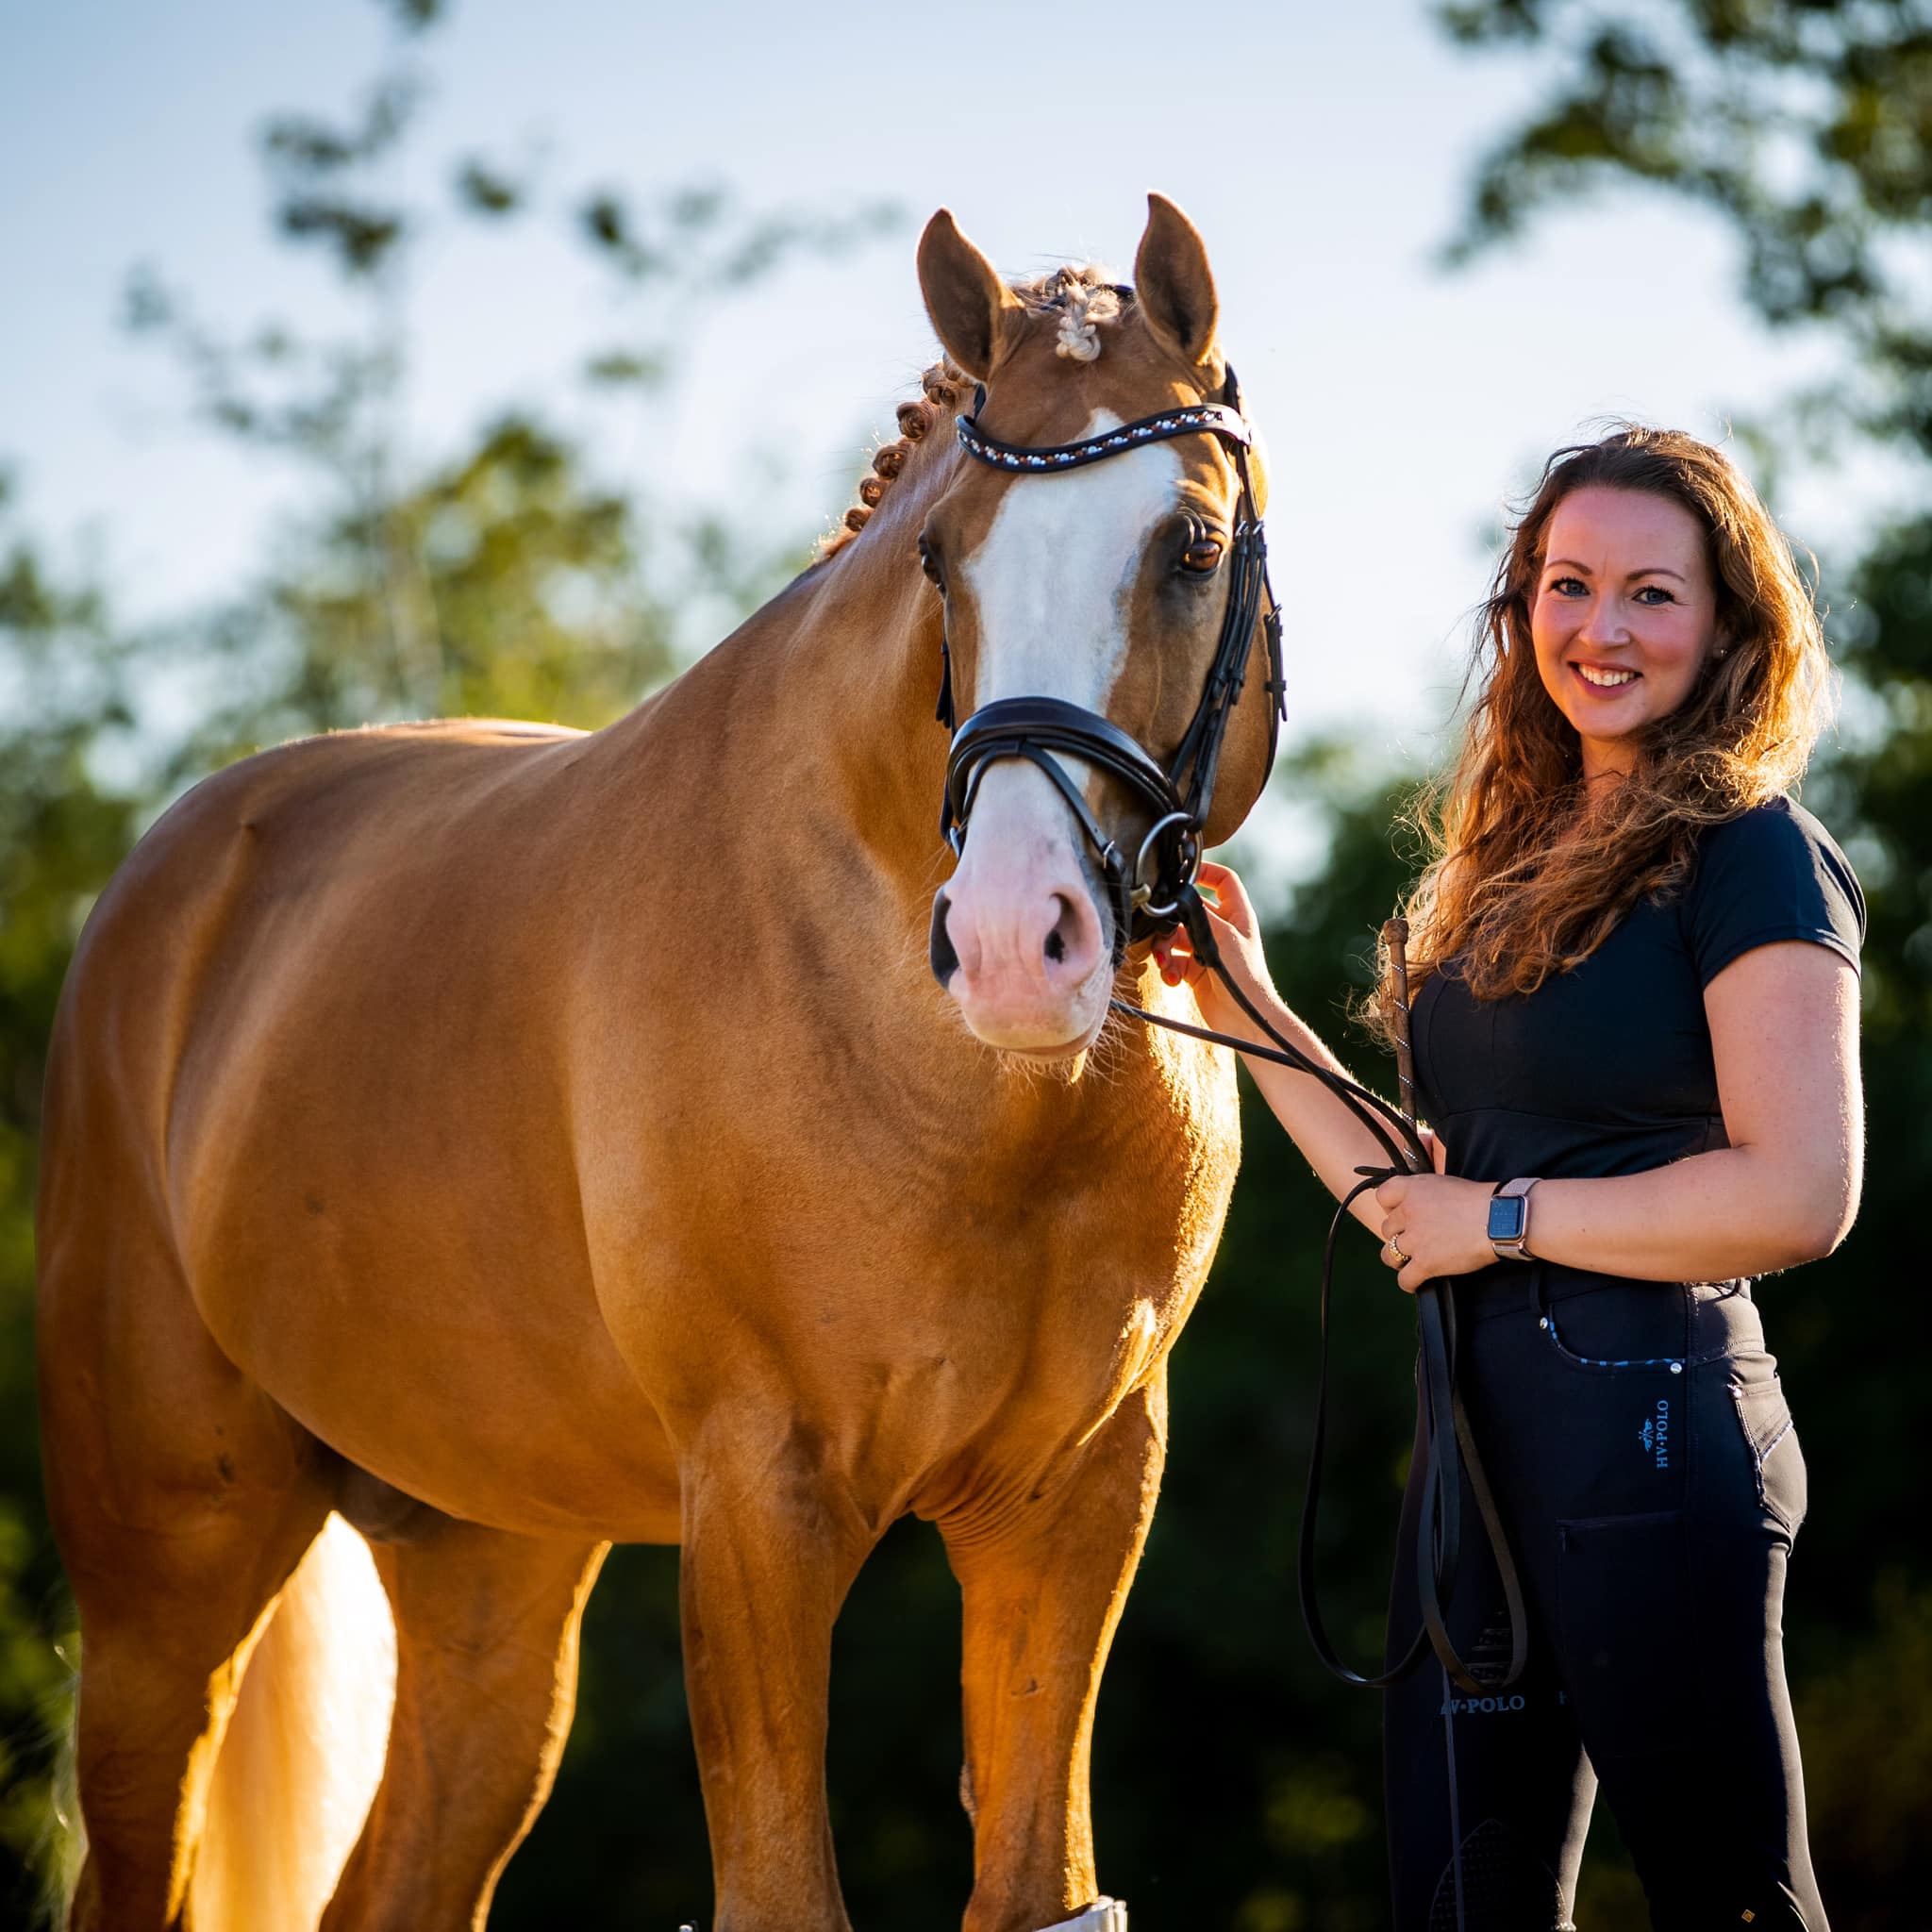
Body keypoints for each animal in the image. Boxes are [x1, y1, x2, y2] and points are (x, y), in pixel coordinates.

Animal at [37, 195, 1274, 1932]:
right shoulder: (759, 1500)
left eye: (1190, 550)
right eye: (943, 561)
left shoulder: (1074, 1503)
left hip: (485, 1564)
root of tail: (176, 870)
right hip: (171, 1575)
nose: (1015, 941)